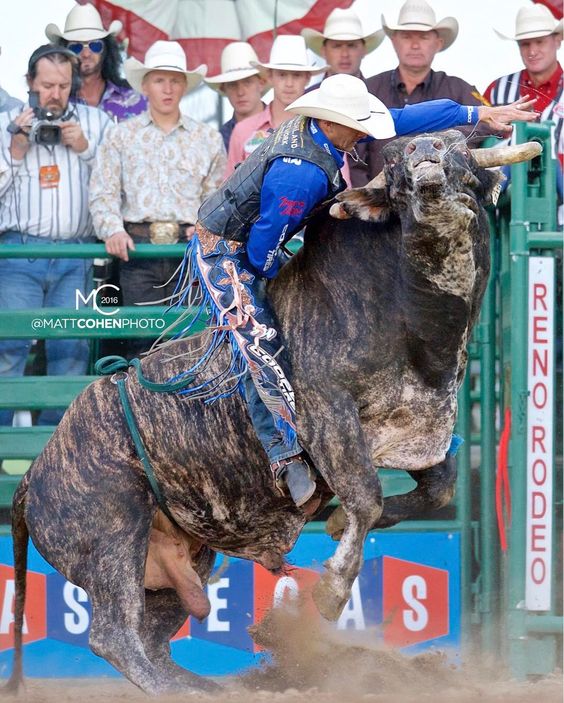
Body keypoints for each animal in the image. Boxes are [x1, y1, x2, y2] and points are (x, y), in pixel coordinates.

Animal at [6, 131, 540, 696]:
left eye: (459, 148)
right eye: (395, 170)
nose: (424, 154)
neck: (412, 322)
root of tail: (32, 478)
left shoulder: (418, 425)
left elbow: (439, 487)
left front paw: (333, 527)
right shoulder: (328, 417)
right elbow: (366, 496)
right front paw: (331, 590)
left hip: (183, 555)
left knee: (151, 636)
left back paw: (207, 688)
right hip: (112, 533)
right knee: (114, 635)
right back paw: (184, 690)